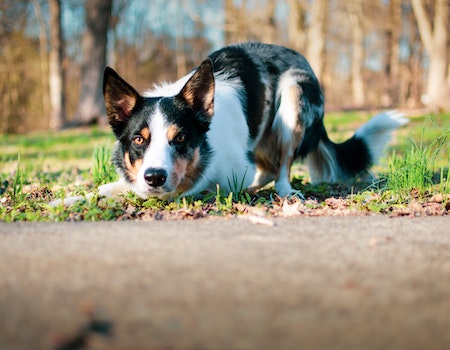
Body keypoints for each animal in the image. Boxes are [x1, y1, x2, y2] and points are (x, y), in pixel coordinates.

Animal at [52, 41, 408, 205]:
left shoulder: (214, 176)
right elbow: (109, 187)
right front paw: (69, 199)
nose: (154, 177)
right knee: (266, 169)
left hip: (293, 95)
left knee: (281, 168)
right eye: (138, 140)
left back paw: (284, 190)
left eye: (180, 139)